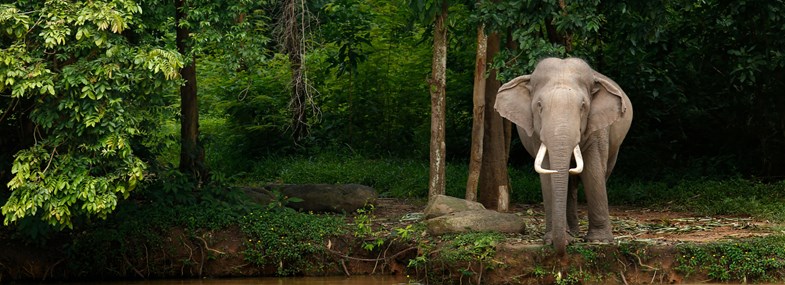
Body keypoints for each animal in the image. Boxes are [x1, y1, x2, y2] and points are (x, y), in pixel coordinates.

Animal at [494, 56, 632, 254]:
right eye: (539, 106)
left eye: (583, 106)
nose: (561, 249)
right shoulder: (537, 133)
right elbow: (548, 171)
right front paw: (554, 239)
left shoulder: (599, 128)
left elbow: (593, 170)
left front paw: (600, 241)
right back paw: (572, 232)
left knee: (601, 173)